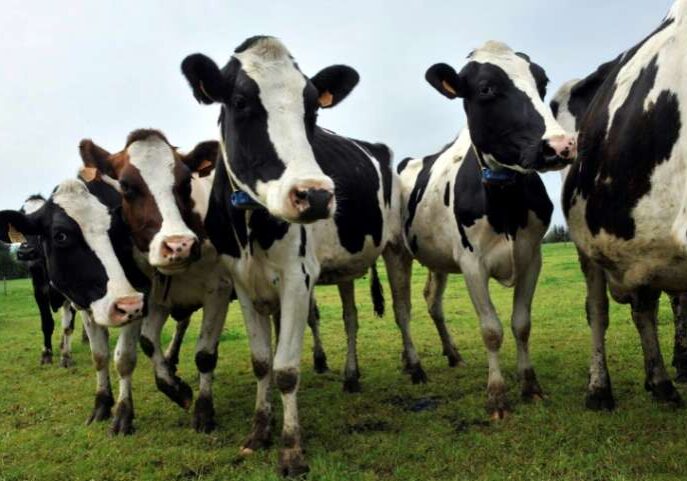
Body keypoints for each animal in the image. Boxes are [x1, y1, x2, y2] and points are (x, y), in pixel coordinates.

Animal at [15, 194, 79, 367]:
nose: (26, 252)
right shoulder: (39, 291)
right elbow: (47, 323)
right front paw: (46, 354)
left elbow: (68, 326)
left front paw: (66, 357)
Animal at [78, 131, 234, 433]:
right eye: (126, 186)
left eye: (186, 182)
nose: (179, 246)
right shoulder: (154, 296)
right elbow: (148, 342)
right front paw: (175, 388)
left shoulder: (219, 291)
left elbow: (204, 355)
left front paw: (204, 410)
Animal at [180, 35, 418, 475]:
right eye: (240, 101)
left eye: (313, 108)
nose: (317, 195)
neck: (251, 226)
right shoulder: (242, 284)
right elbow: (262, 362)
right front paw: (259, 432)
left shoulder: (297, 277)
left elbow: (287, 369)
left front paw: (291, 450)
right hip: (344, 267)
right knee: (351, 318)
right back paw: (351, 377)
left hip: (396, 248)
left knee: (402, 310)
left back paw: (415, 367)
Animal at [398, 41, 576, 419]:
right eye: (485, 89)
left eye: (542, 82)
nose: (559, 146)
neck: (503, 203)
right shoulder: (471, 264)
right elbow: (491, 330)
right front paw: (496, 396)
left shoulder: (532, 256)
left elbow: (521, 324)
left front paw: (530, 385)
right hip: (396, 253)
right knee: (403, 309)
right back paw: (415, 366)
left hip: (437, 260)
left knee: (432, 301)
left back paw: (450, 354)